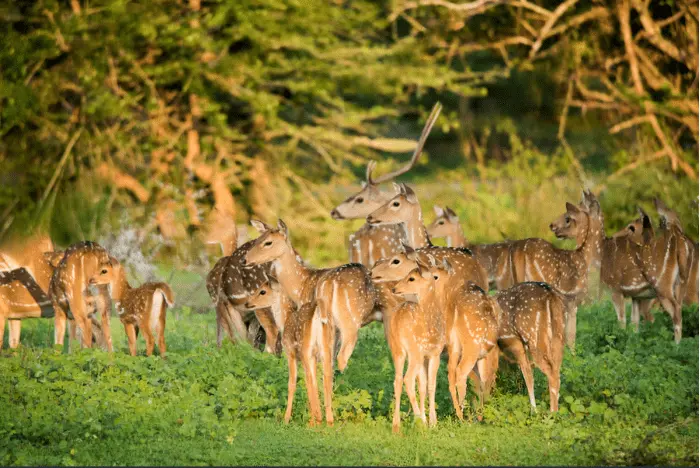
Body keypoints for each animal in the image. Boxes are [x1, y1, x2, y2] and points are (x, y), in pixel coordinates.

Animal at [245, 280, 334, 426]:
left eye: (262, 291)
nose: (247, 303)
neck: (285, 320)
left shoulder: (290, 352)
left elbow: (292, 384)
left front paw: (286, 419)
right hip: (326, 349)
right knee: (326, 378)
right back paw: (328, 420)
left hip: (306, 349)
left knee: (311, 380)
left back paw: (317, 420)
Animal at [512, 192, 604, 350]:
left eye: (567, 218)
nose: (552, 225)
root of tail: (521, 250)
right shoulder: (573, 299)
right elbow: (570, 335)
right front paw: (572, 354)